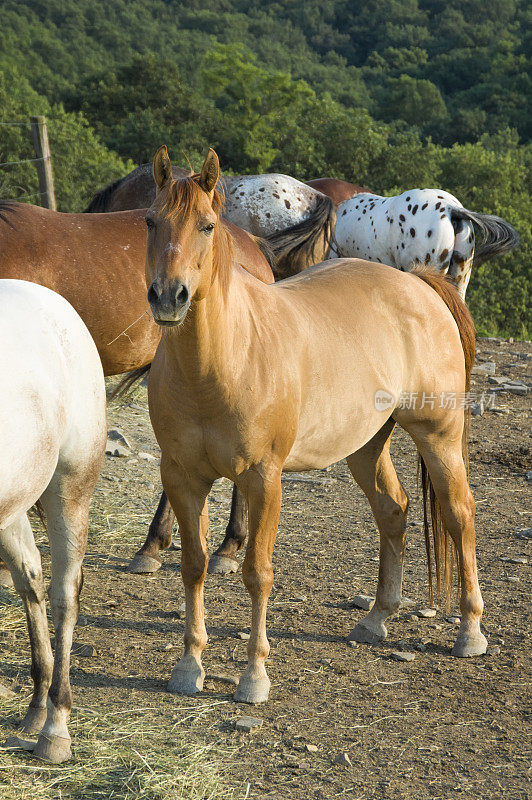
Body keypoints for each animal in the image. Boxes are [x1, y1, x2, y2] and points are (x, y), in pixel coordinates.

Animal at [137, 147, 486, 704]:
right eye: (151, 221)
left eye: (207, 225)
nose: (168, 297)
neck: (223, 359)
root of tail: (418, 285)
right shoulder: (182, 478)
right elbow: (193, 565)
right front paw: (189, 666)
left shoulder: (263, 479)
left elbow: (258, 573)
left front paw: (254, 676)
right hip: (367, 446)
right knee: (393, 511)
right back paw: (376, 618)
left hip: (439, 435)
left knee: (458, 514)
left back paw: (471, 631)